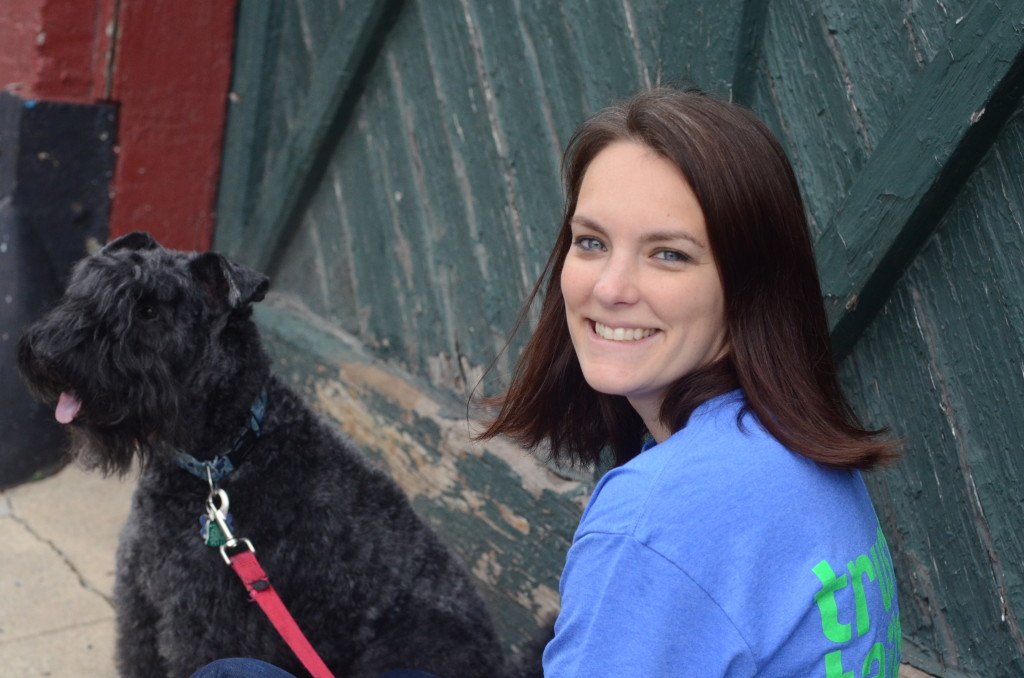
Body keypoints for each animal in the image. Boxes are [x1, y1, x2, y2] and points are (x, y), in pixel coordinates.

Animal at [18, 235, 505, 678]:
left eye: (150, 310)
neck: (225, 458)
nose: (48, 352)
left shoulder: (203, 629)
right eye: (86, 284)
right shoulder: (141, 604)